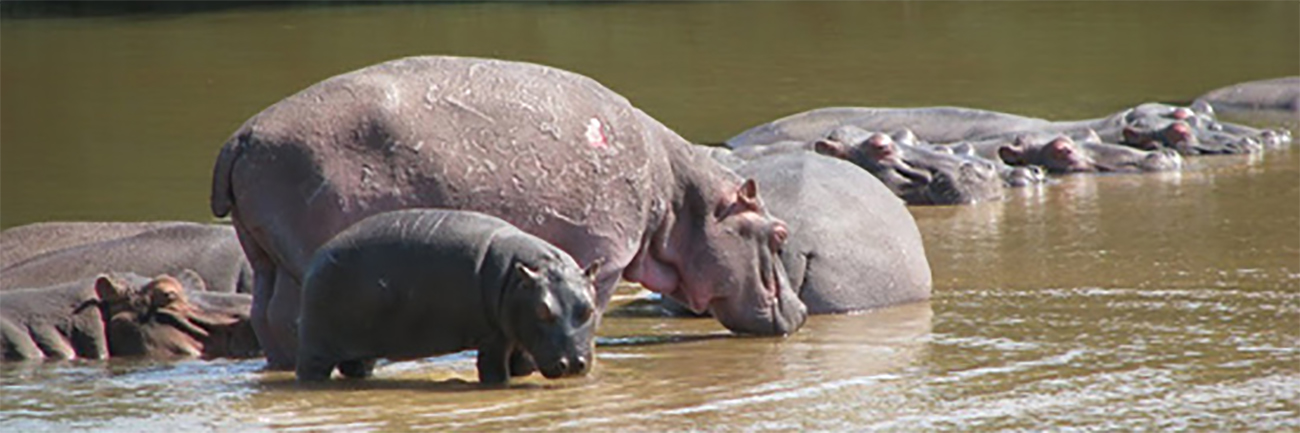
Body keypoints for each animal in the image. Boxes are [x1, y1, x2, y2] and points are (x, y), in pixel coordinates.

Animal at [296, 208, 598, 382]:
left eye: (589, 309)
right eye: (542, 310)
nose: (573, 364)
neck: (521, 275)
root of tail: (318, 255)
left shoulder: (518, 335)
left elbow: (522, 368)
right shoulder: (493, 337)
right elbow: (493, 372)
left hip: (363, 347)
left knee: (356, 367)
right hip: (316, 346)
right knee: (311, 370)